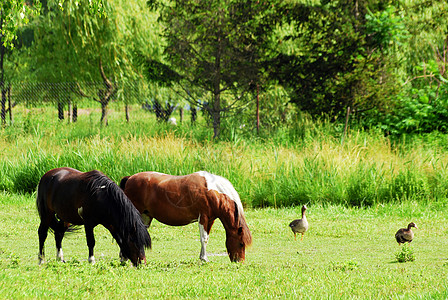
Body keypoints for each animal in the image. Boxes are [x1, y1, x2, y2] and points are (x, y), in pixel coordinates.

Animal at [119, 171, 252, 262]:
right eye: (241, 243)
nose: (239, 262)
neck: (213, 191)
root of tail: (129, 178)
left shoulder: (210, 220)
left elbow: (206, 238)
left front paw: (202, 257)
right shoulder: (203, 218)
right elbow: (203, 238)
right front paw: (204, 259)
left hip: (145, 216)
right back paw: (124, 258)